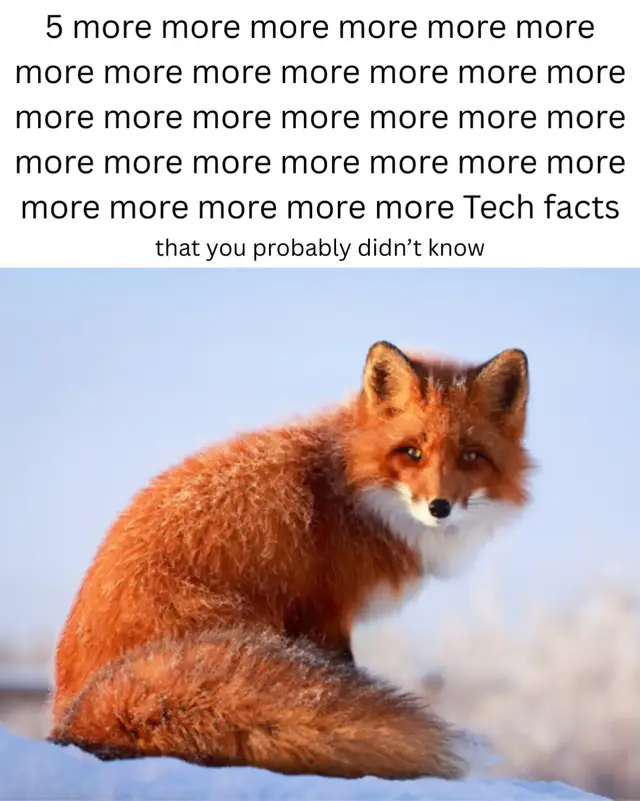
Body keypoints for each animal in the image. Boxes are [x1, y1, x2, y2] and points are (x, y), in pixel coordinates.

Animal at [49, 341, 532, 780]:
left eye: (470, 456)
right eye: (412, 452)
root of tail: (70, 717)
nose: (439, 507)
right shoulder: (323, 612)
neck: (348, 492)